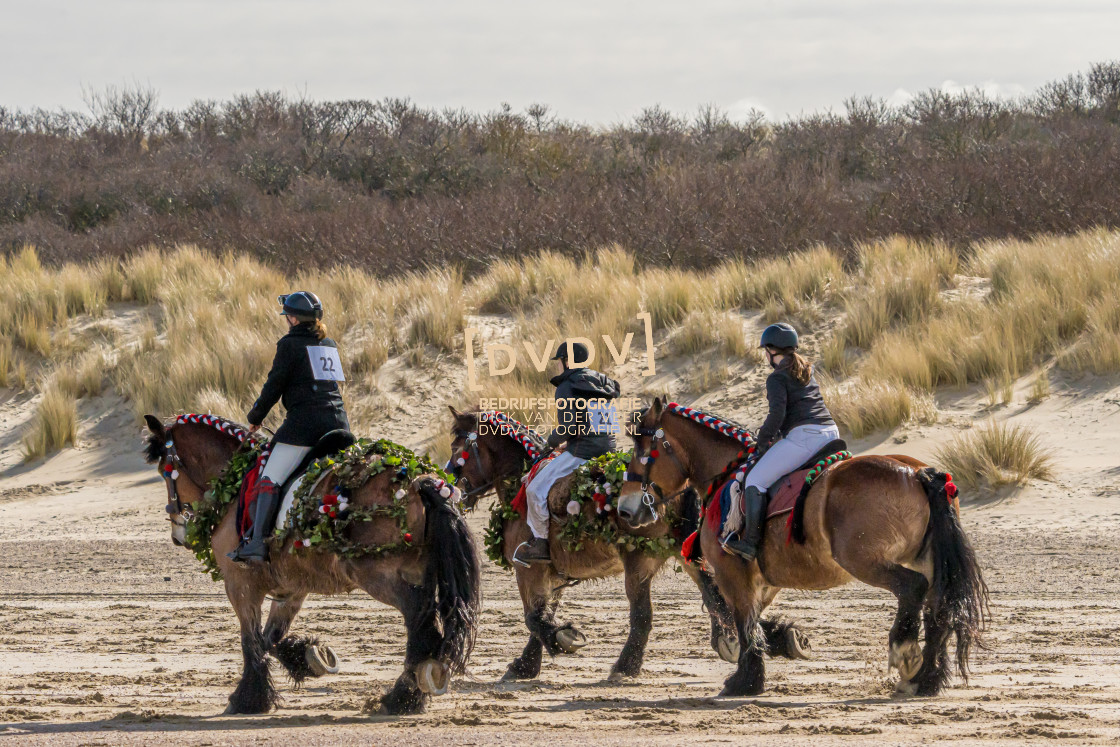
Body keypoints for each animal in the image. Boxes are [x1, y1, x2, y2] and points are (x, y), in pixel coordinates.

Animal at [142, 412, 479, 716]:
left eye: (164, 472)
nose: (178, 535)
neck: (236, 481)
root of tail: (420, 480)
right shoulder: (291, 588)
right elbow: (270, 639)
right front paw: (310, 657)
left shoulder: (240, 585)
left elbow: (250, 640)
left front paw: (248, 698)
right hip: (418, 571)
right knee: (426, 624)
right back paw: (411, 694)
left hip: (377, 574)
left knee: (421, 622)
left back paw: (401, 697)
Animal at [448, 409, 815, 685]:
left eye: (457, 450)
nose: (452, 488)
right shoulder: (552, 574)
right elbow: (542, 614)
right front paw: (528, 662)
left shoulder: (529, 570)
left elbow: (533, 618)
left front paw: (558, 641)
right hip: (680, 553)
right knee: (717, 595)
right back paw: (759, 638)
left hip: (639, 561)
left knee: (645, 615)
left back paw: (627, 665)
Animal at [613, 400, 990, 698]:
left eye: (643, 452)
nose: (626, 510)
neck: (726, 473)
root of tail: (917, 472)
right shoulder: (763, 581)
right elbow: (750, 621)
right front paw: (781, 644)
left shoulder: (732, 573)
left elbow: (743, 621)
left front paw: (745, 680)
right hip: (926, 561)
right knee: (938, 609)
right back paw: (926, 679)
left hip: (866, 561)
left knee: (912, 589)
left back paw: (905, 651)